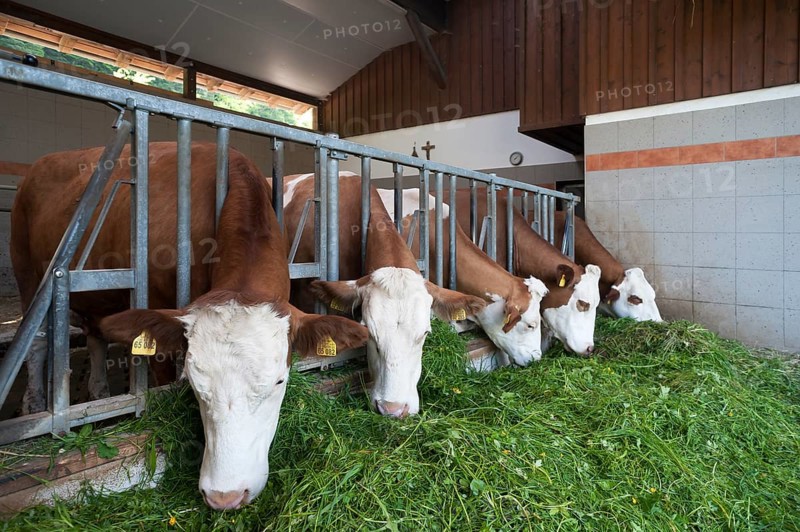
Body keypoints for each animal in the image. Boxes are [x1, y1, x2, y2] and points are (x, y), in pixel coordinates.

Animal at [11, 142, 368, 510]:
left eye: (279, 381)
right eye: (194, 385)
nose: (224, 496)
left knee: (95, 333)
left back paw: (99, 392)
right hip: (27, 270)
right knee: (37, 339)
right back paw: (35, 404)